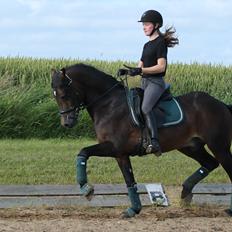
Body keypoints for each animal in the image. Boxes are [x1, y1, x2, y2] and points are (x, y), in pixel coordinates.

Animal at [51, 63, 232, 218]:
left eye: (63, 95)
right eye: (55, 97)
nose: (67, 123)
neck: (108, 104)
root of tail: (221, 104)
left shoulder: (114, 147)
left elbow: (83, 152)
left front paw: (86, 189)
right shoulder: (120, 154)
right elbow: (129, 180)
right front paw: (133, 210)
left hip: (218, 145)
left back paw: (228, 209)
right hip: (191, 146)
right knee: (210, 163)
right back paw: (185, 192)